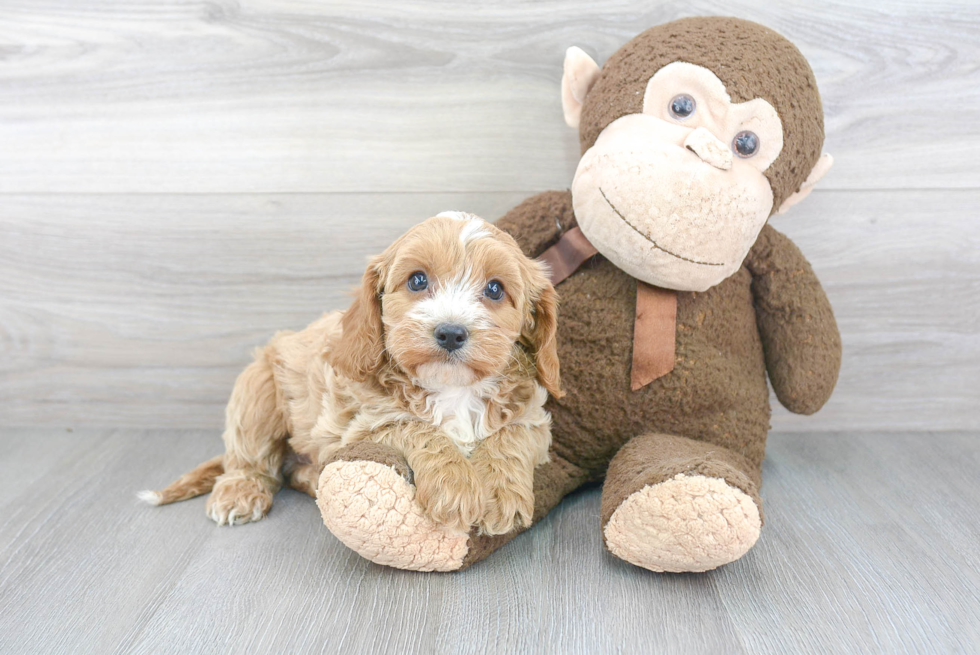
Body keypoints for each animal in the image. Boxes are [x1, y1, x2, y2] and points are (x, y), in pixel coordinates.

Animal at [142, 213, 564, 536]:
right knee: (251, 461)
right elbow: (418, 427)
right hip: (257, 391)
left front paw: (499, 495)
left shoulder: (534, 420)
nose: (450, 332)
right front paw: (456, 485)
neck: (453, 389)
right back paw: (239, 492)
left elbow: (509, 437)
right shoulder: (362, 422)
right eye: (417, 280)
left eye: (495, 289)